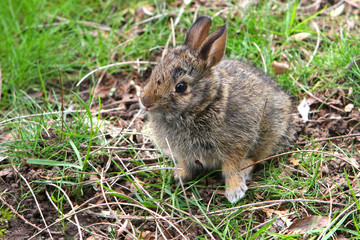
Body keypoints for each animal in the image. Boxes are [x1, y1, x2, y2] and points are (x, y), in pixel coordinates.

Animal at [139, 15, 294, 203]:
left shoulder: (236, 143)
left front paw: (234, 191)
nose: (145, 101)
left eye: (181, 87)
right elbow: (186, 163)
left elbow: (231, 166)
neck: (203, 106)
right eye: (155, 71)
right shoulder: (184, 153)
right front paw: (179, 175)